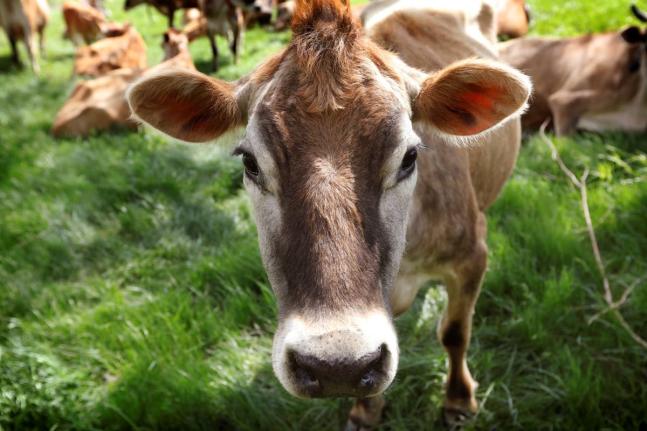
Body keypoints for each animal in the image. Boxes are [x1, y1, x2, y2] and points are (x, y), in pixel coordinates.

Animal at [126, 0, 530, 428]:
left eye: (409, 156)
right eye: (250, 162)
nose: (337, 367)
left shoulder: (472, 255)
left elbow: (455, 332)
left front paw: (458, 401)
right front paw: (365, 412)